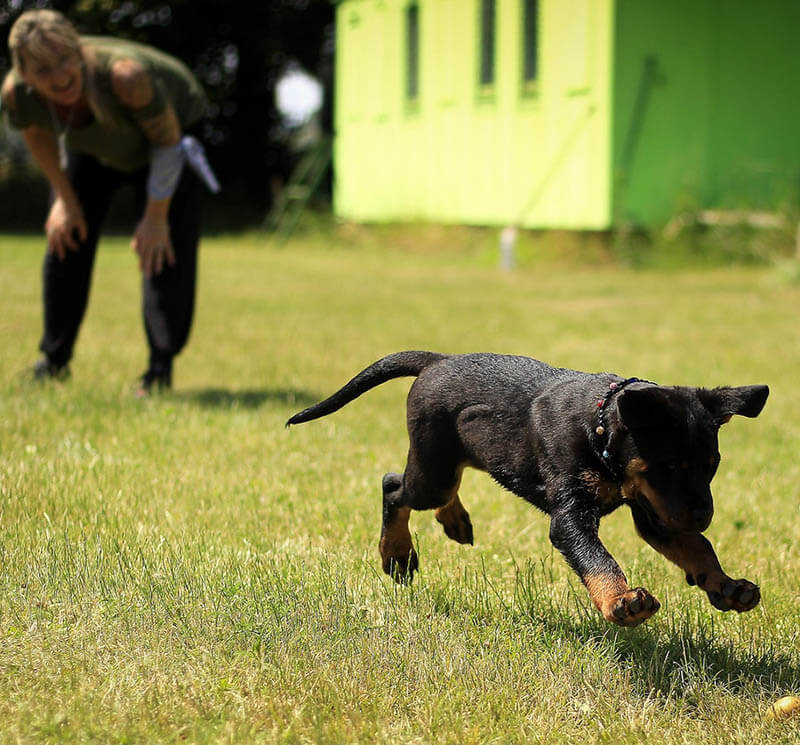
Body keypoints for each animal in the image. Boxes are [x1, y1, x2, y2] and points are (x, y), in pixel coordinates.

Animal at [288, 352, 768, 624]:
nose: (704, 515)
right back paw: (398, 555)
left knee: (441, 488)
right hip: (432, 469)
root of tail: (437, 360)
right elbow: (598, 559)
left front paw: (726, 586)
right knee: (394, 487)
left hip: (457, 457)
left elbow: (697, 547)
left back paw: (454, 521)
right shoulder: (573, 515)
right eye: (670, 465)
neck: (598, 427)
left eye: (712, 466)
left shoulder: (656, 512)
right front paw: (621, 602)